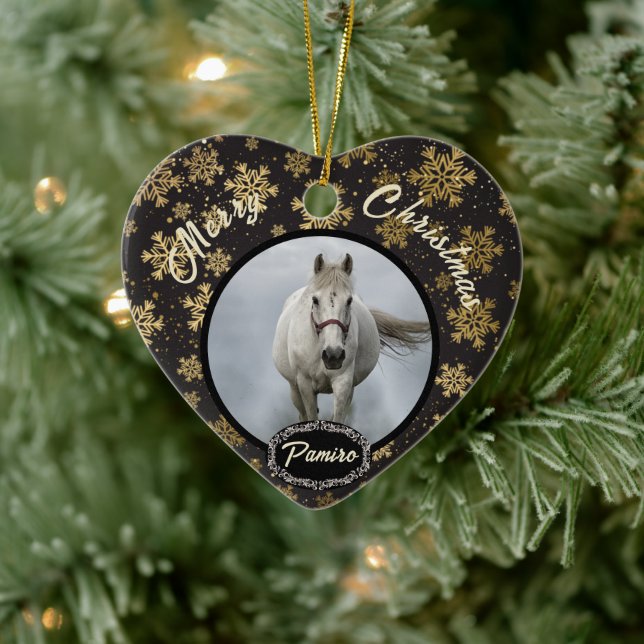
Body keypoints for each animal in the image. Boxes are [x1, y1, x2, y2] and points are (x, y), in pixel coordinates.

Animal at [272, 253, 431, 425]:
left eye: (349, 301)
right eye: (315, 300)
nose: (333, 355)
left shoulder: (343, 383)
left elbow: (339, 417)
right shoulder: (305, 385)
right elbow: (311, 415)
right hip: (294, 389)